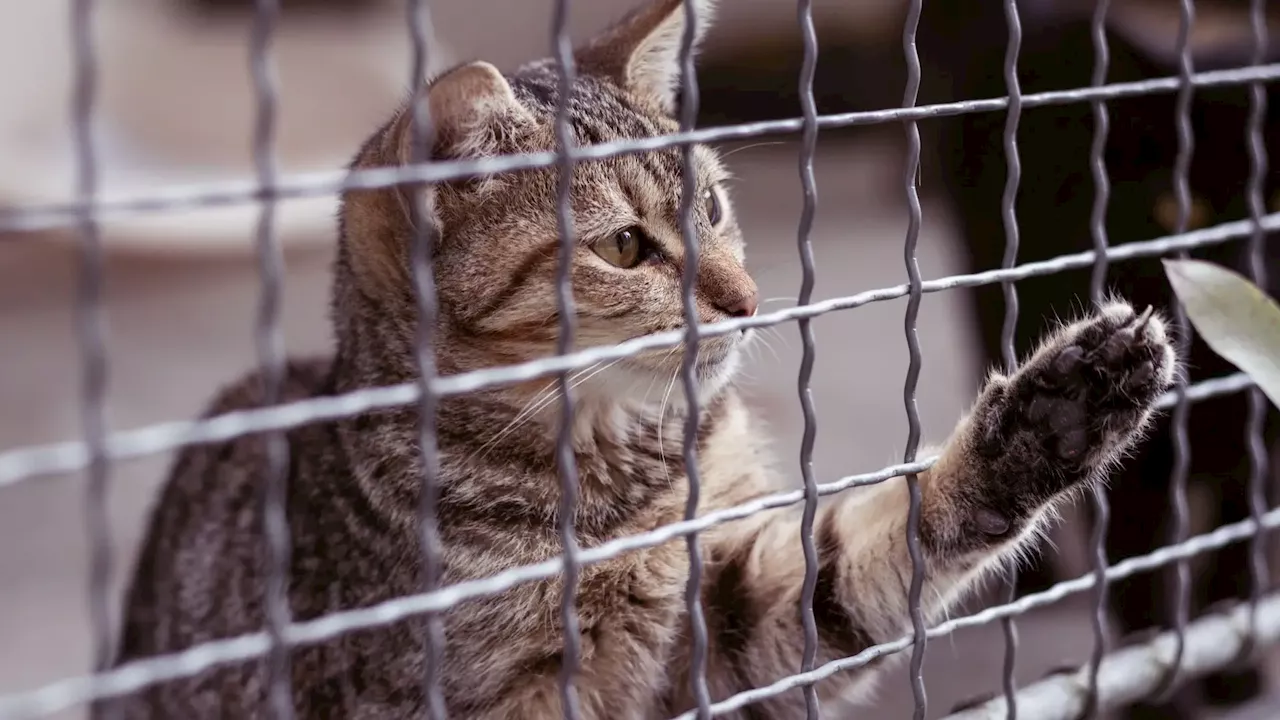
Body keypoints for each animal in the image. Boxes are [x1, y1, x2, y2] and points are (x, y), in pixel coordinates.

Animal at [97, 0, 1177, 712]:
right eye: (624, 247)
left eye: (713, 207)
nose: (747, 300)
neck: (621, 480)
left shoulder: (741, 611)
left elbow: (875, 551)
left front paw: (1054, 416)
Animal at [916, 0, 1280, 712]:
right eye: (1179, 207)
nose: (1247, 290)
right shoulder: (1138, 479)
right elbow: (1142, 583)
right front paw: (1162, 696)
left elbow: (1236, 545)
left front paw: (1233, 665)